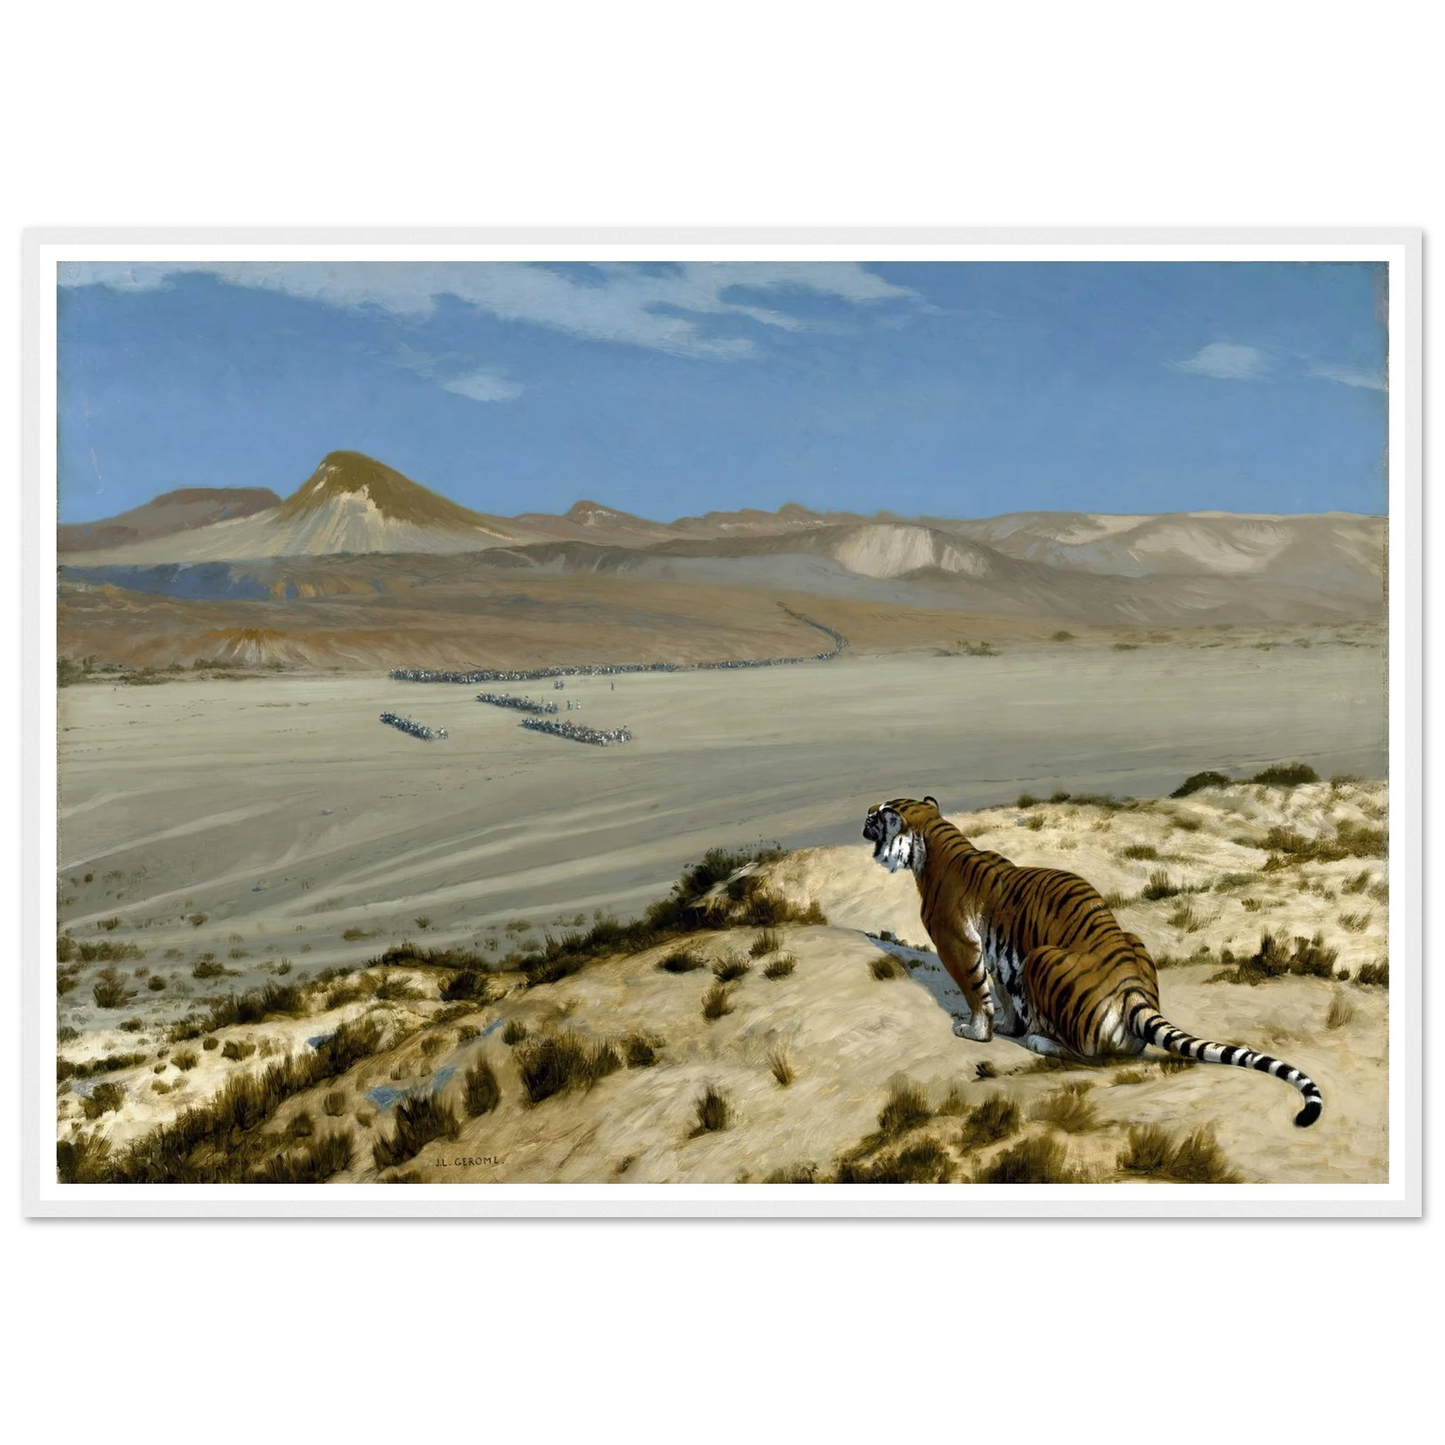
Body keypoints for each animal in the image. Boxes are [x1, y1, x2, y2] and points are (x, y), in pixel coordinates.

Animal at [862, 796, 1324, 1127]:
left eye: (877, 815)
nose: (862, 819)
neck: (933, 841)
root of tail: (1133, 990)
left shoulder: (958, 944)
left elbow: (978, 994)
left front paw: (975, 1032)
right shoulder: (998, 954)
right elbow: (1004, 993)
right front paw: (1008, 1025)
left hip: (1040, 958)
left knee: (1089, 1056)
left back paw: (1039, 1040)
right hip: (1122, 944)